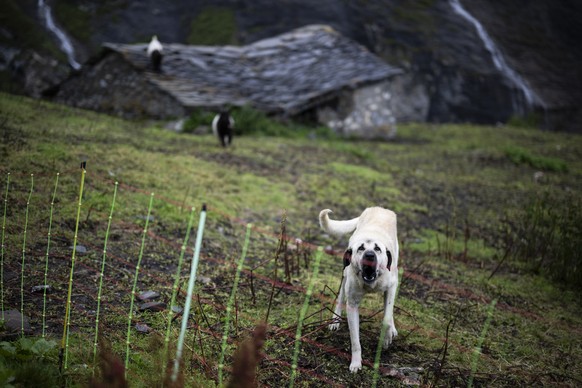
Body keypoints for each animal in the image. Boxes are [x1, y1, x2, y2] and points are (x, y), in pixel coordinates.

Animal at [322, 208, 400, 372]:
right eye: (361, 248)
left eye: (377, 249)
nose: (369, 255)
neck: (370, 282)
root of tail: (377, 208)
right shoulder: (352, 305)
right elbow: (355, 340)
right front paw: (356, 363)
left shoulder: (391, 286)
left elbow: (386, 318)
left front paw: (386, 337)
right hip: (345, 274)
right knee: (340, 296)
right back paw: (335, 320)